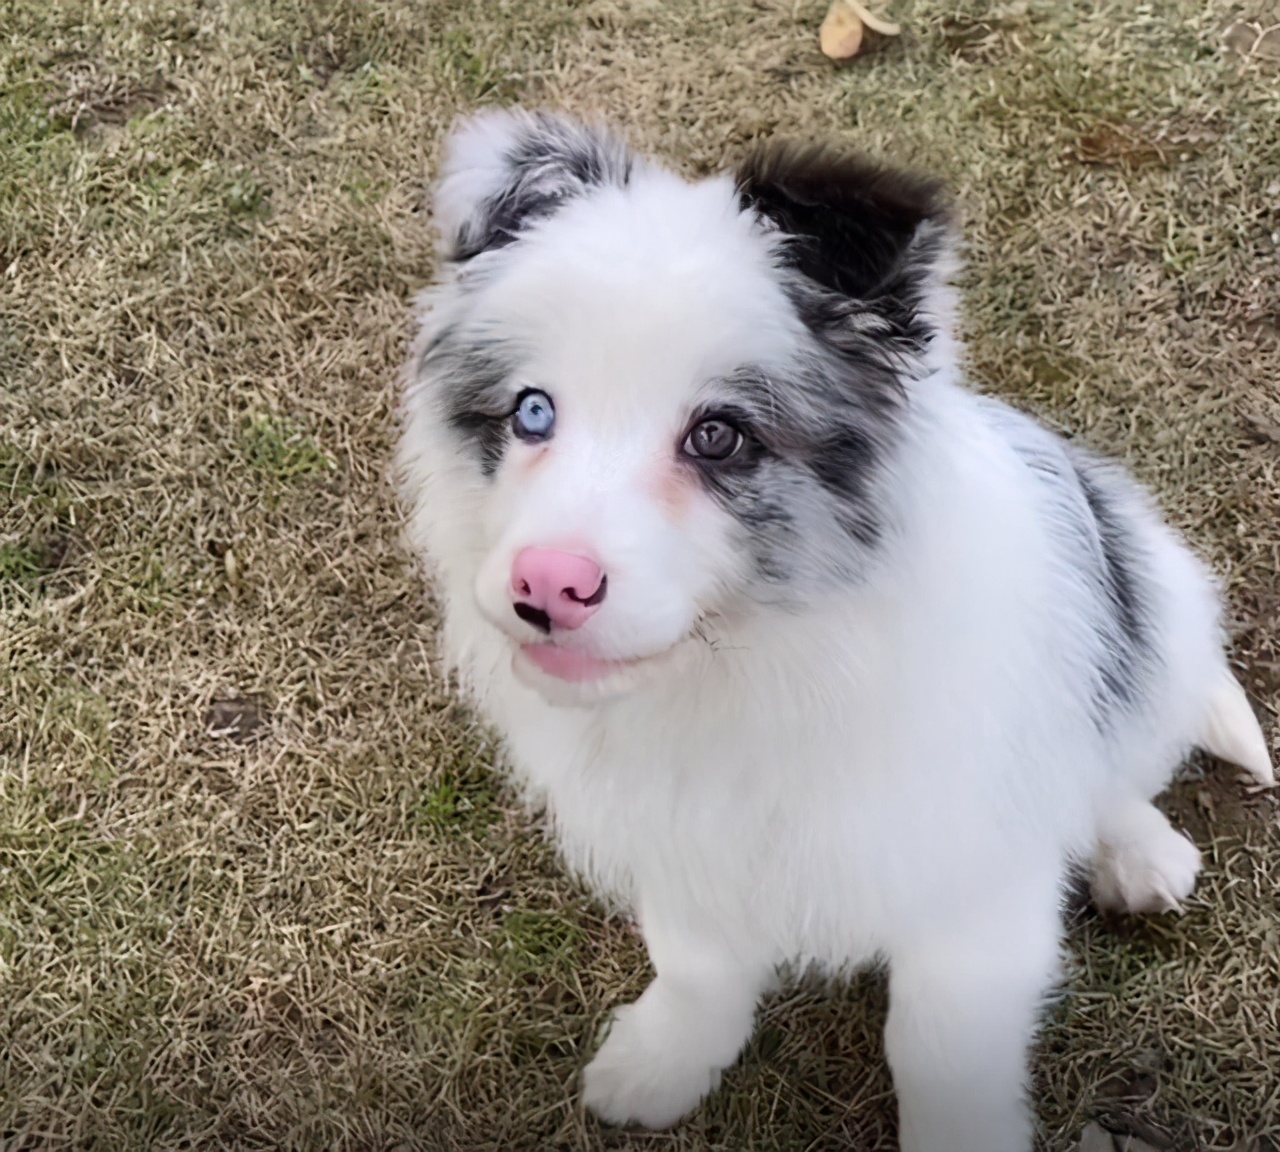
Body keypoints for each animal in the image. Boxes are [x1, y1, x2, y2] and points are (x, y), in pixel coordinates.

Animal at [394, 110, 1274, 1152]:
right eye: (532, 412)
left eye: (719, 436)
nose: (546, 587)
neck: (764, 656)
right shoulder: (685, 837)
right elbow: (697, 964)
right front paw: (663, 1062)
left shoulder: (967, 889)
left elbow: (938, 1048)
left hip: (1153, 614)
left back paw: (1139, 853)